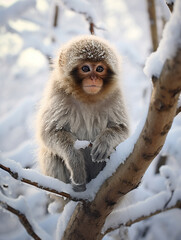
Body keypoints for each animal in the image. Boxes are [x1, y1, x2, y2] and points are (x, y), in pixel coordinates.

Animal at [36, 34, 129, 192]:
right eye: (85, 68)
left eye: (99, 68)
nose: (94, 78)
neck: (87, 98)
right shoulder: (58, 95)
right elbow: (49, 133)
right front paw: (75, 161)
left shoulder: (115, 96)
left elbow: (122, 130)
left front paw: (104, 141)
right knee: (51, 154)